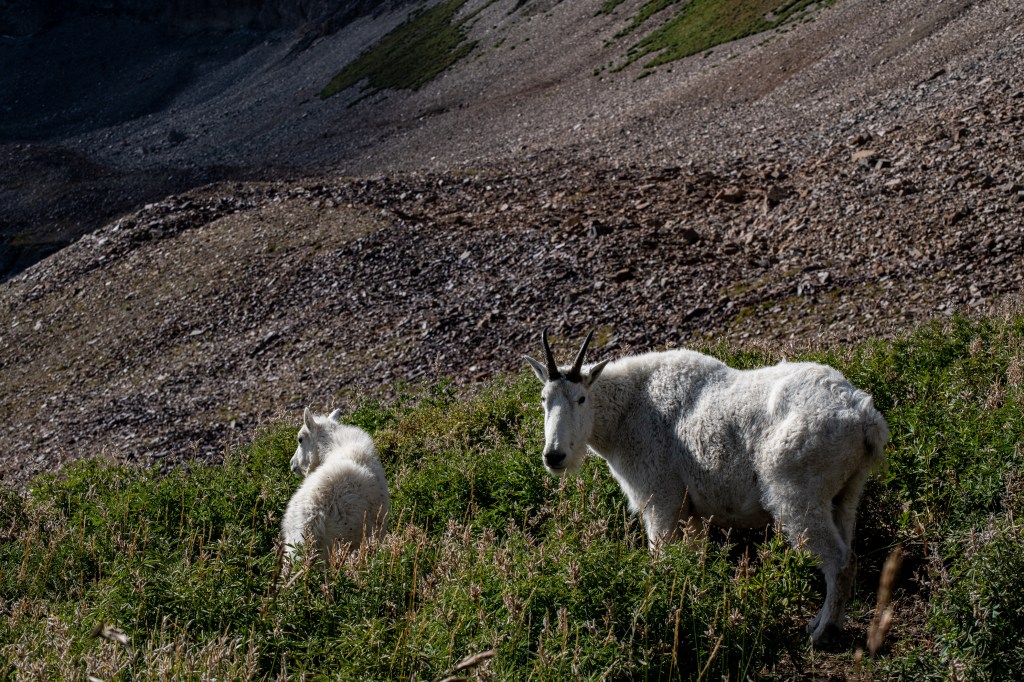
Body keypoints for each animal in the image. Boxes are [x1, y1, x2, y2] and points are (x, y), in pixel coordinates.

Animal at [525, 330, 889, 646]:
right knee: (847, 550)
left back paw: (821, 633)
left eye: (581, 398)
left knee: (838, 559)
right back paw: (825, 623)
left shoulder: (661, 499)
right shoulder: (691, 514)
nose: (554, 456)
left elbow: (661, 556)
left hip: (799, 493)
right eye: (543, 399)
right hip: (846, 493)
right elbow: (693, 558)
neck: (625, 413)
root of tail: (864, 417)